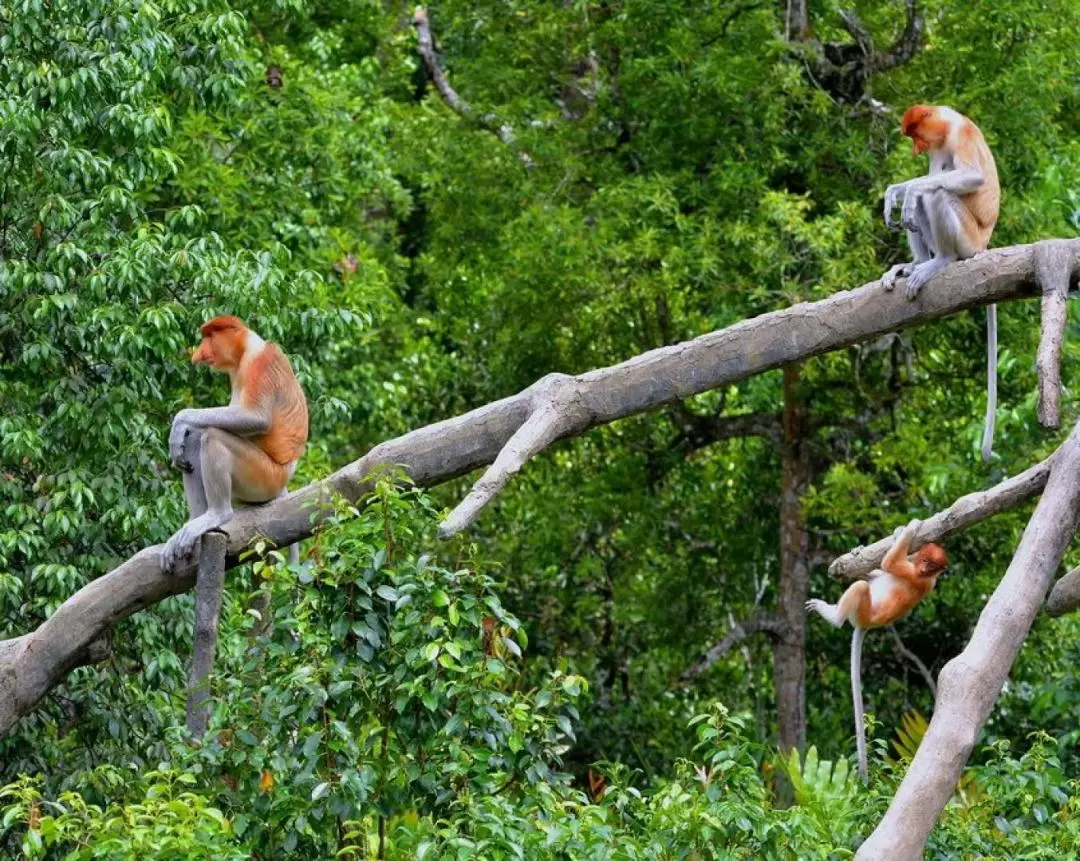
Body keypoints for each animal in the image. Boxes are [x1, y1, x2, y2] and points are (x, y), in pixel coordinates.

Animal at [162, 315, 311, 570]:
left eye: (210, 336)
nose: (199, 353)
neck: (245, 351)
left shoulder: (261, 364)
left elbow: (256, 418)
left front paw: (181, 420)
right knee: (195, 439)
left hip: (265, 477)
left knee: (214, 436)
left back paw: (217, 514)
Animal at [803, 520, 946, 782]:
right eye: (925, 561)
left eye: (932, 566)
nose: (923, 570)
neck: (926, 576)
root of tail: (867, 625)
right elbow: (887, 565)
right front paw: (900, 533)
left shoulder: (916, 578)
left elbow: (890, 563)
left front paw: (911, 527)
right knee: (871, 577)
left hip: (863, 610)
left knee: (860, 586)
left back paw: (833, 616)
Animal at [881, 103, 997, 460]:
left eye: (916, 135)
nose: (916, 149)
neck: (947, 125)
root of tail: (983, 246)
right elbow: (930, 176)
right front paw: (893, 193)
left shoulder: (960, 135)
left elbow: (968, 177)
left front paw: (907, 191)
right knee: (929, 197)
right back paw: (914, 264)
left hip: (968, 239)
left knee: (938, 194)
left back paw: (940, 260)